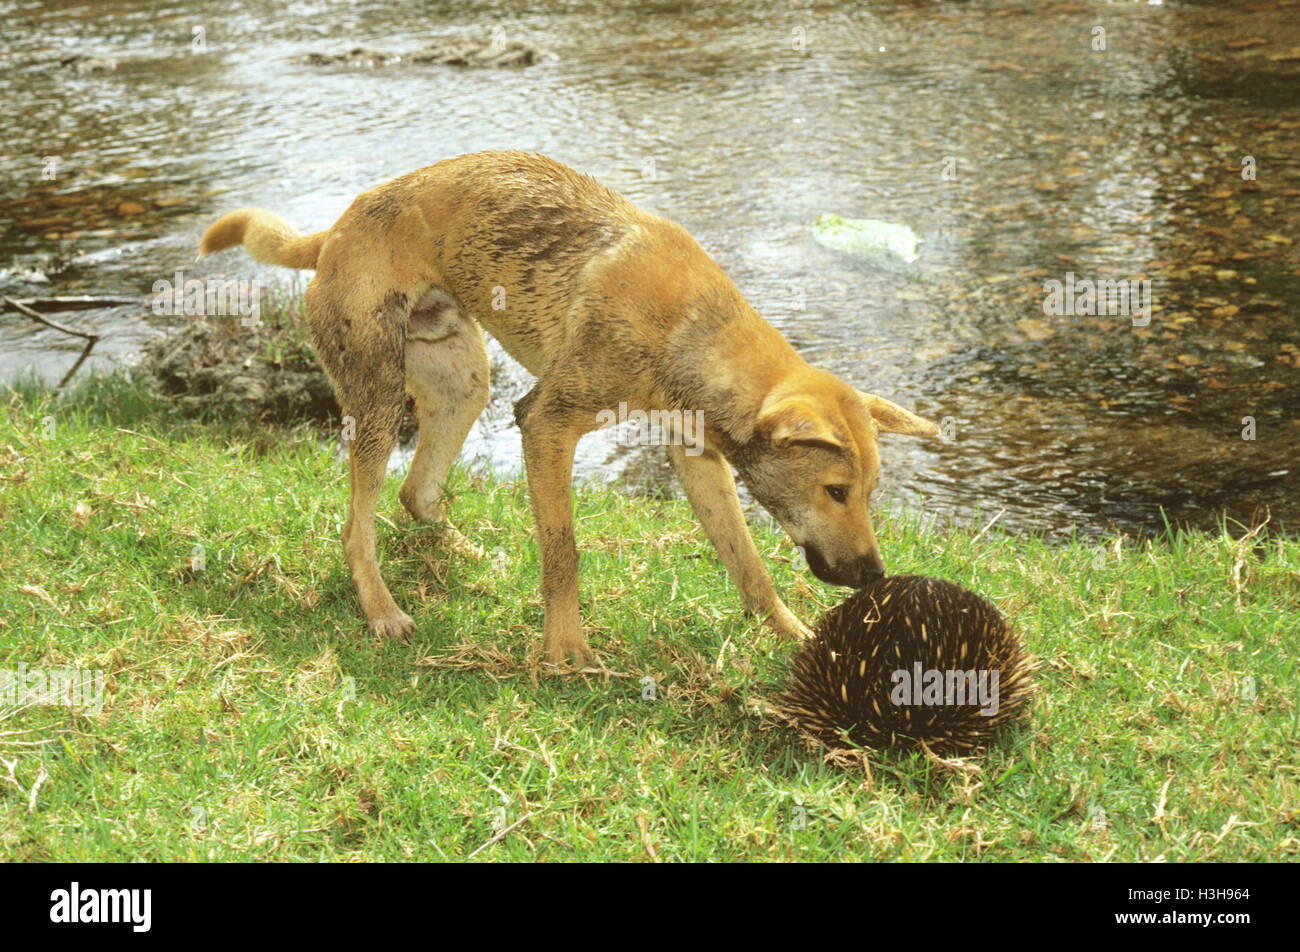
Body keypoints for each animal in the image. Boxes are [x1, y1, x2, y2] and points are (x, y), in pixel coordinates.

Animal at [197, 152, 941, 665]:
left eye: (870, 492)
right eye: (836, 490)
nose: (875, 576)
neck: (687, 329)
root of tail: (334, 231)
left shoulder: (698, 461)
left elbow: (748, 563)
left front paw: (789, 631)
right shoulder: (546, 425)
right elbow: (563, 550)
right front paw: (565, 647)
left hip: (464, 384)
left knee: (415, 493)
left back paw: (468, 554)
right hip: (379, 403)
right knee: (358, 527)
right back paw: (383, 610)